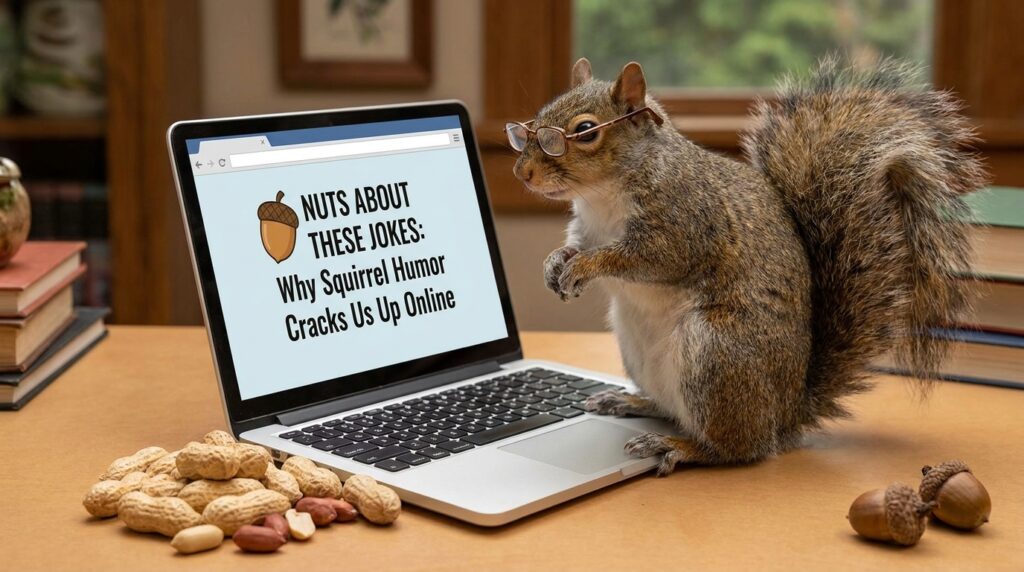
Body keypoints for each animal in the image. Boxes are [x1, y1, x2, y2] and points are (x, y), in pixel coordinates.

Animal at [511, 56, 984, 475]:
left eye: (585, 131)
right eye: (527, 128)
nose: (523, 173)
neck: (602, 196)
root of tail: (786, 416)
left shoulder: (685, 222)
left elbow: (647, 257)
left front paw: (586, 267)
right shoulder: (587, 227)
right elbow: (574, 246)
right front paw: (555, 264)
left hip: (716, 354)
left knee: (738, 448)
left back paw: (680, 447)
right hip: (640, 351)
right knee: (672, 409)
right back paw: (630, 401)